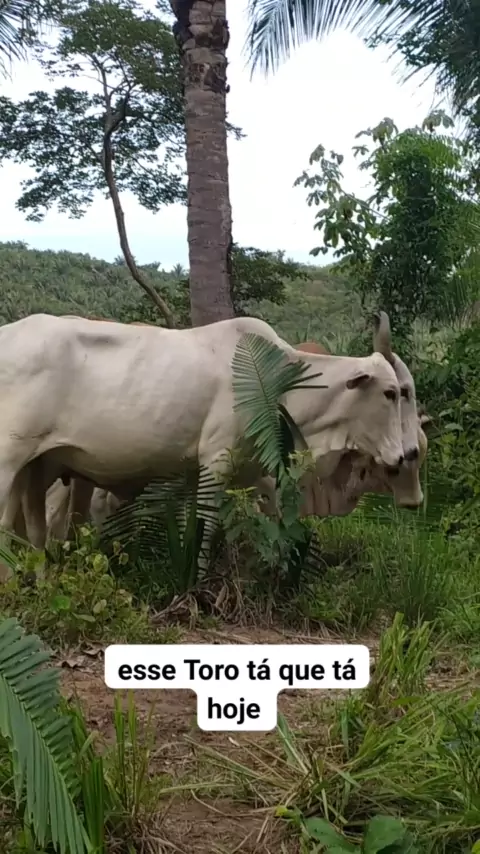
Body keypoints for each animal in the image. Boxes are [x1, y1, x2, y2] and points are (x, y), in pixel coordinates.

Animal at [0, 312, 405, 566]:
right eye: (390, 393)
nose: (401, 457)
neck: (277, 382)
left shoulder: (202, 471)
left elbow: (192, 525)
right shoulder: (218, 460)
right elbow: (208, 528)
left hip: (35, 468)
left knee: (30, 530)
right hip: (9, 461)